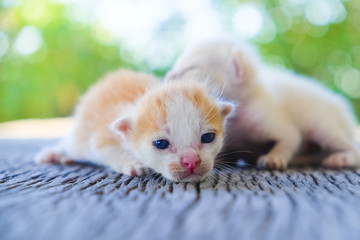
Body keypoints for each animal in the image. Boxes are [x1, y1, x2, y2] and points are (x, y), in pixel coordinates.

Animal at [35, 69, 235, 182]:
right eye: (161, 144)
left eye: (208, 137)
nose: (191, 161)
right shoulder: (102, 135)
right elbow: (106, 149)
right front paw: (132, 163)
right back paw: (53, 154)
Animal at [167, 39, 360, 170]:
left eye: (192, 68)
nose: (168, 77)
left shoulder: (264, 114)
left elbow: (290, 138)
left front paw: (274, 158)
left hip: (323, 124)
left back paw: (343, 158)